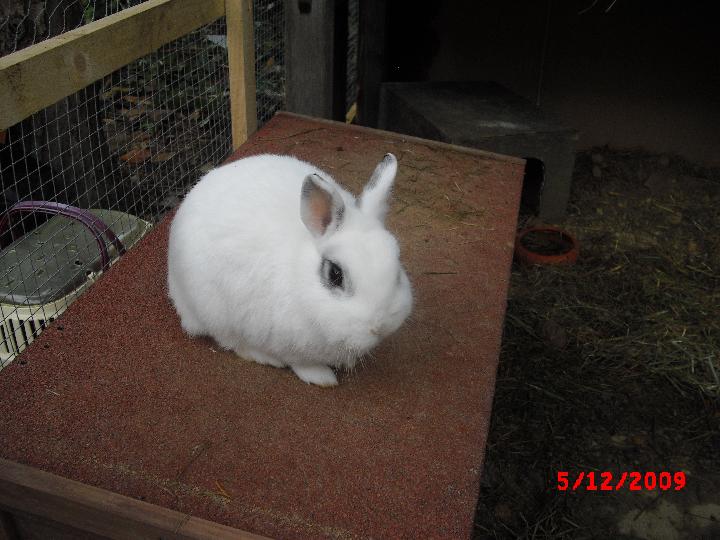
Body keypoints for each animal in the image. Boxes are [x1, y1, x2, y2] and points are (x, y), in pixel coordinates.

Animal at [167, 152, 413, 387]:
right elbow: (300, 363)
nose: (379, 327)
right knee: (232, 341)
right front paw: (322, 377)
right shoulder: (283, 339)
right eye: (335, 274)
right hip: (215, 312)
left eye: (397, 268)